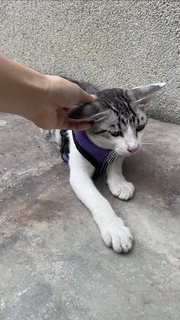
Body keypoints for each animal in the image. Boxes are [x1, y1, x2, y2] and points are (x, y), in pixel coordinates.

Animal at [45, 80, 165, 255]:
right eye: (115, 133)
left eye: (140, 127)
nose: (134, 148)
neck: (101, 147)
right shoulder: (78, 174)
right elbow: (98, 200)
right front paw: (115, 229)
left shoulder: (118, 150)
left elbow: (116, 160)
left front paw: (119, 182)